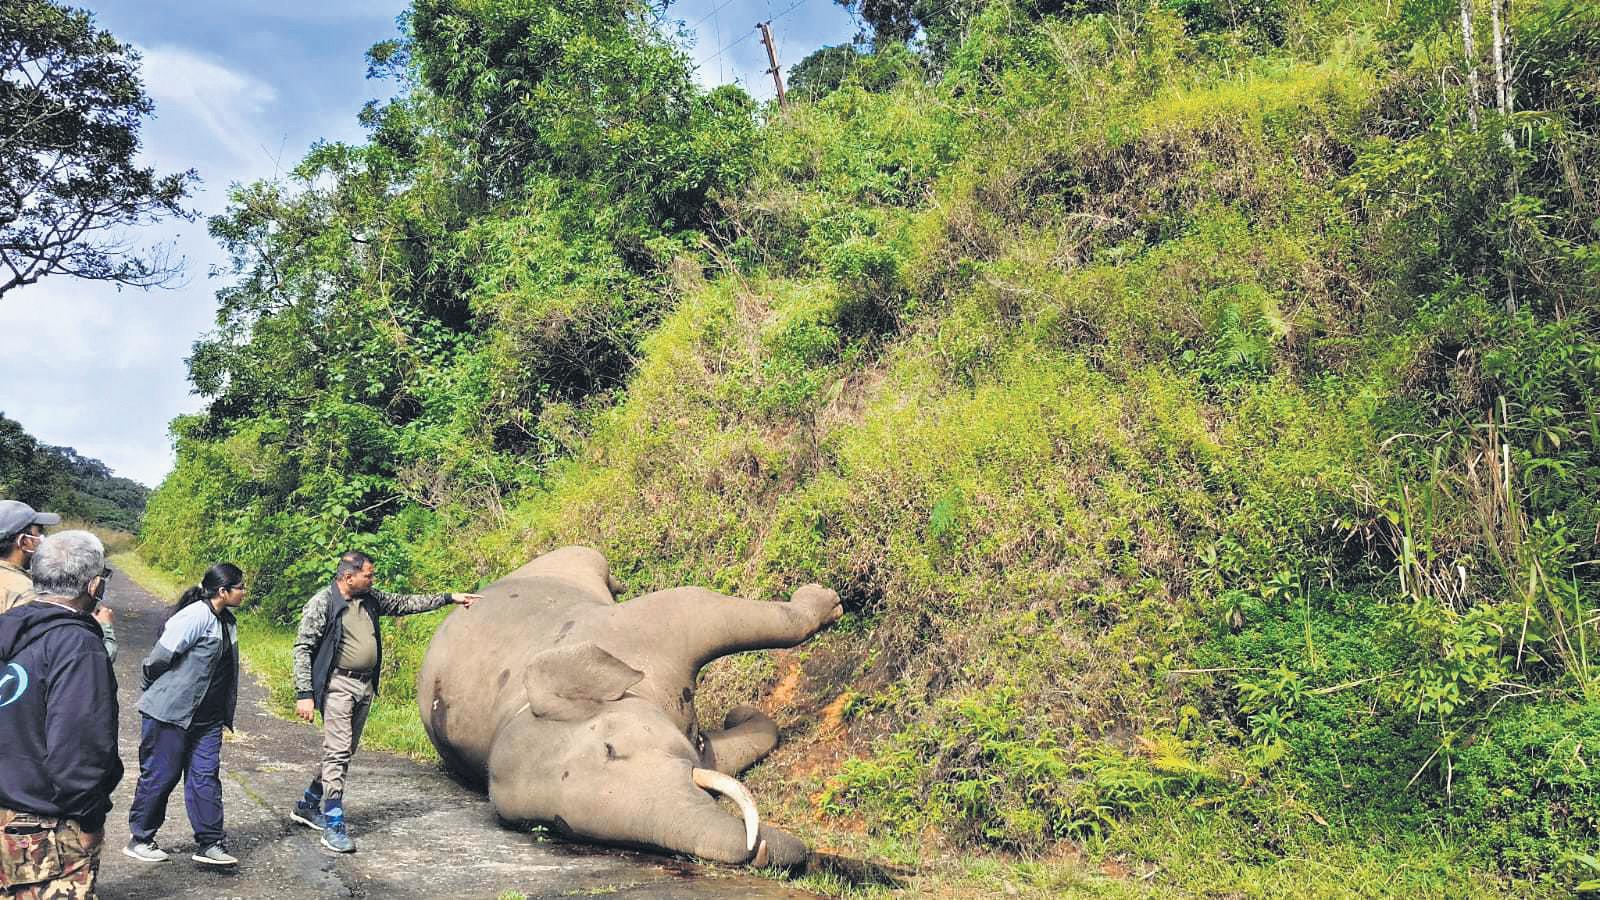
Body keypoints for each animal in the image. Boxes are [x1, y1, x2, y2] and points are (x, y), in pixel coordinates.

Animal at [417, 546, 842, 868]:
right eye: (560, 825)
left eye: (610, 748)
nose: (759, 848)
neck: (516, 707)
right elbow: (723, 754)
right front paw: (743, 717)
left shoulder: (639, 628)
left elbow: (701, 602)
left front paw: (829, 601)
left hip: (568, 561)